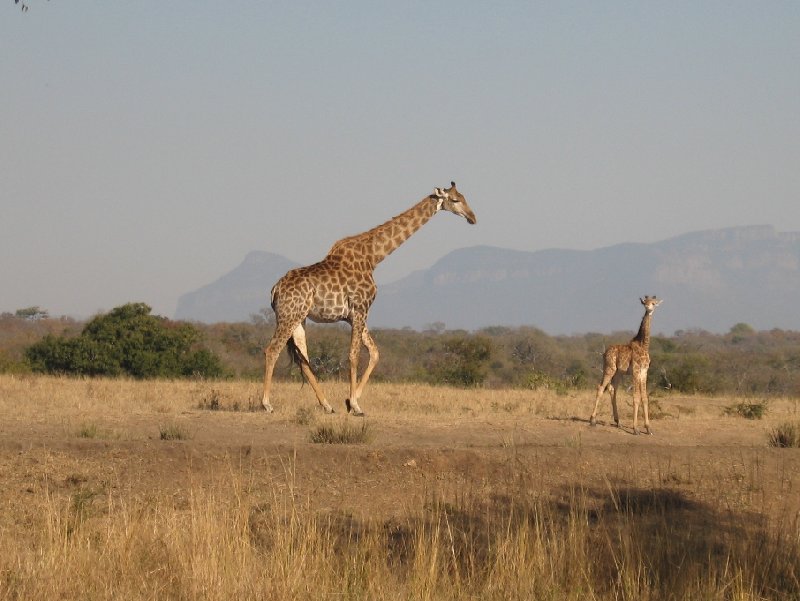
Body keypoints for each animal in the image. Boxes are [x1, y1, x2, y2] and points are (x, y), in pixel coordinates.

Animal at [260, 183, 476, 414]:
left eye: (463, 197)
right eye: (455, 200)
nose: (472, 217)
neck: (373, 257)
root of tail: (275, 290)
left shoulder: (355, 315)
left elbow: (374, 353)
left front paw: (351, 400)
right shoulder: (361, 309)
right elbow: (354, 355)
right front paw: (355, 406)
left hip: (299, 319)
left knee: (303, 359)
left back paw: (327, 405)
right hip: (289, 316)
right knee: (272, 350)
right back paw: (266, 404)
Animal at [588, 298, 664, 434]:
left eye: (654, 303)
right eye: (645, 302)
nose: (648, 308)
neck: (643, 345)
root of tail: (604, 353)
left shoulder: (644, 371)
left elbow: (644, 397)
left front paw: (648, 428)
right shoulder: (636, 370)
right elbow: (636, 397)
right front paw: (635, 429)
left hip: (618, 372)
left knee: (612, 389)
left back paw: (618, 422)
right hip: (609, 368)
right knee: (600, 387)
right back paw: (593, 421)